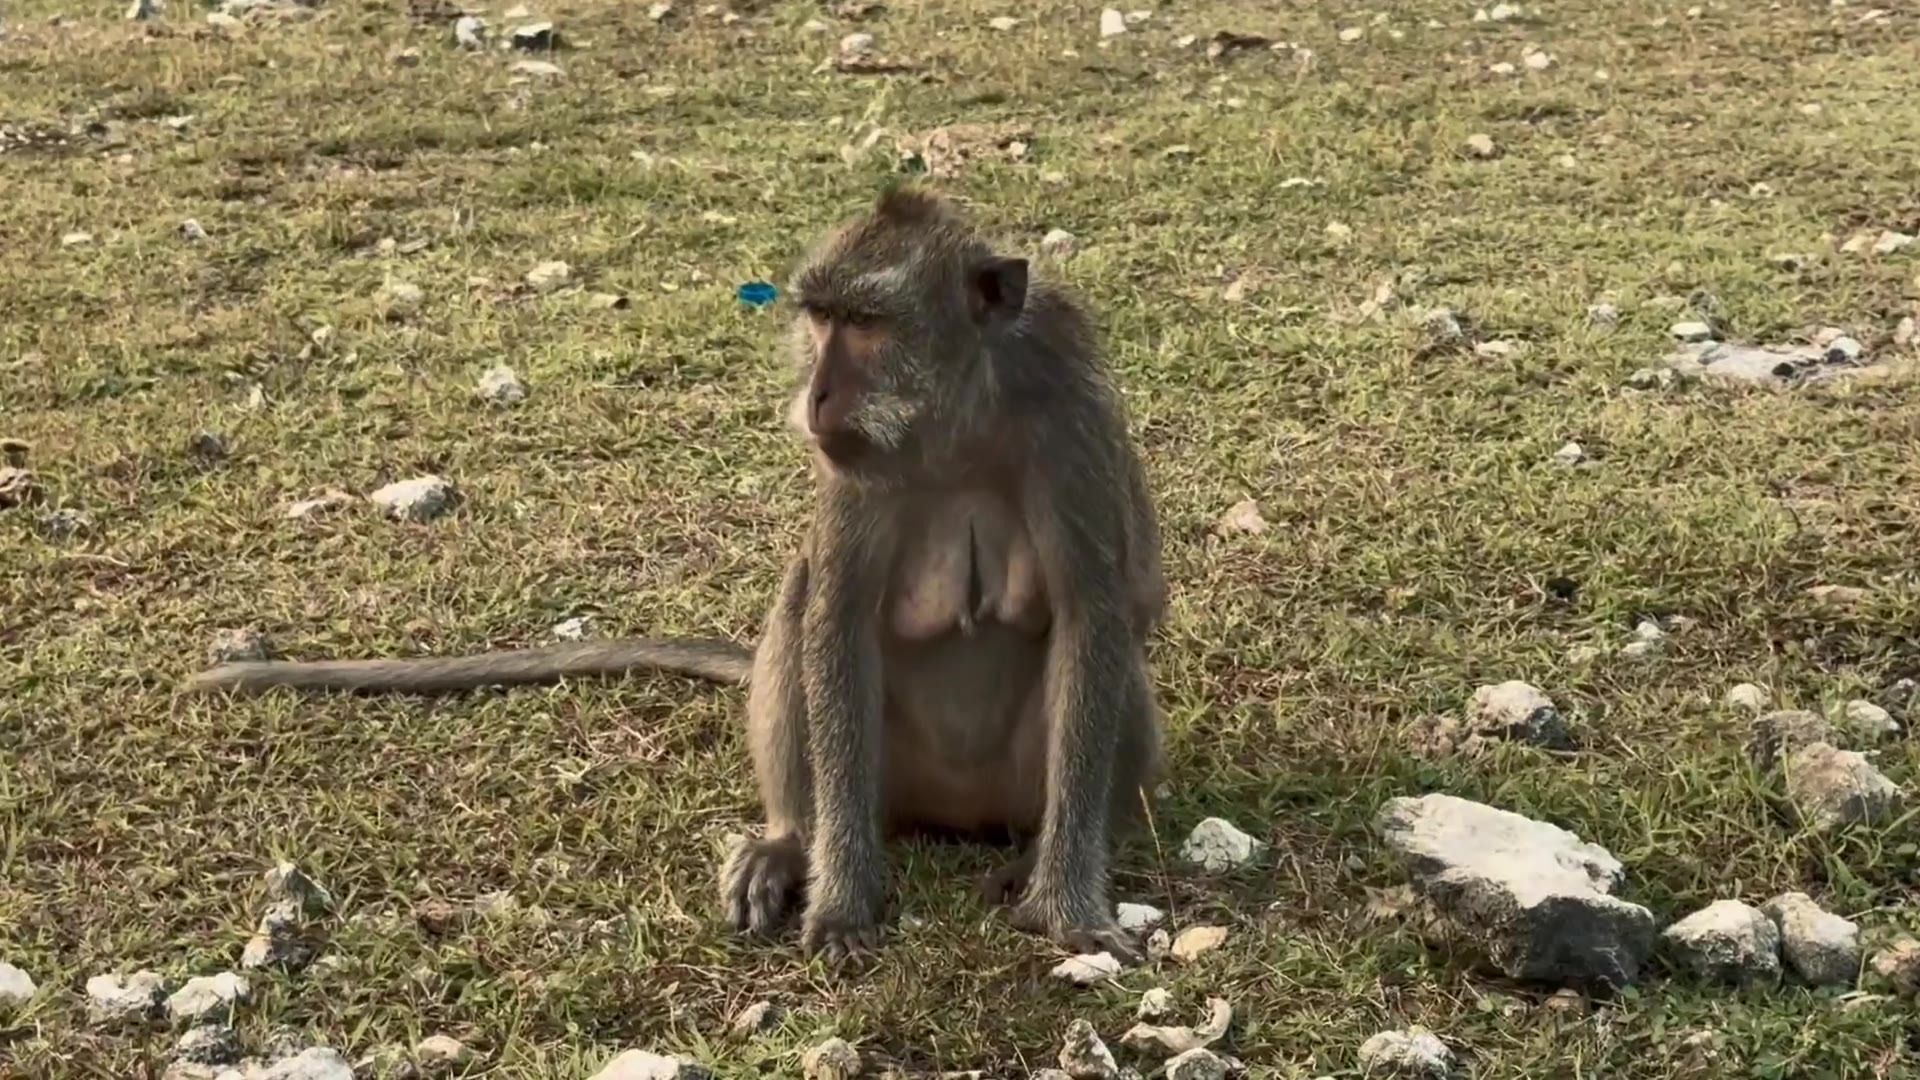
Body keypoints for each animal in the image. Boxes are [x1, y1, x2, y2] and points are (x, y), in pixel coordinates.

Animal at [182, 185, 1168, 965]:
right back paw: (790, 843)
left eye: (868, 324)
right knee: (800, 609)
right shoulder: (854, 472)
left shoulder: (1069, 423)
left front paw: (1065, 904)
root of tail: (955, 817)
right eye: (820, 318)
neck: (959, 418)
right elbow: (837, 624)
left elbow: (1098, 619)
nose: (816, 393)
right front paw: (843, 899)